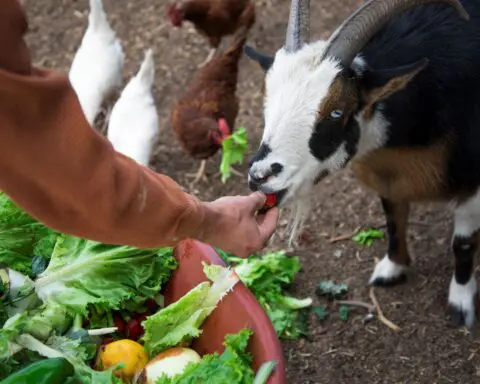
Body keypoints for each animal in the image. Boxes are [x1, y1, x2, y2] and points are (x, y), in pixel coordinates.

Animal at [244, 0, 480, 328]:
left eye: (336, 112)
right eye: (268, 100)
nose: (260, 176)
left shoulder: (473, 186)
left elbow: (464, 242)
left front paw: (460, 303)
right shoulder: (388, 180)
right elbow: (393, 219)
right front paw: (392, 268)